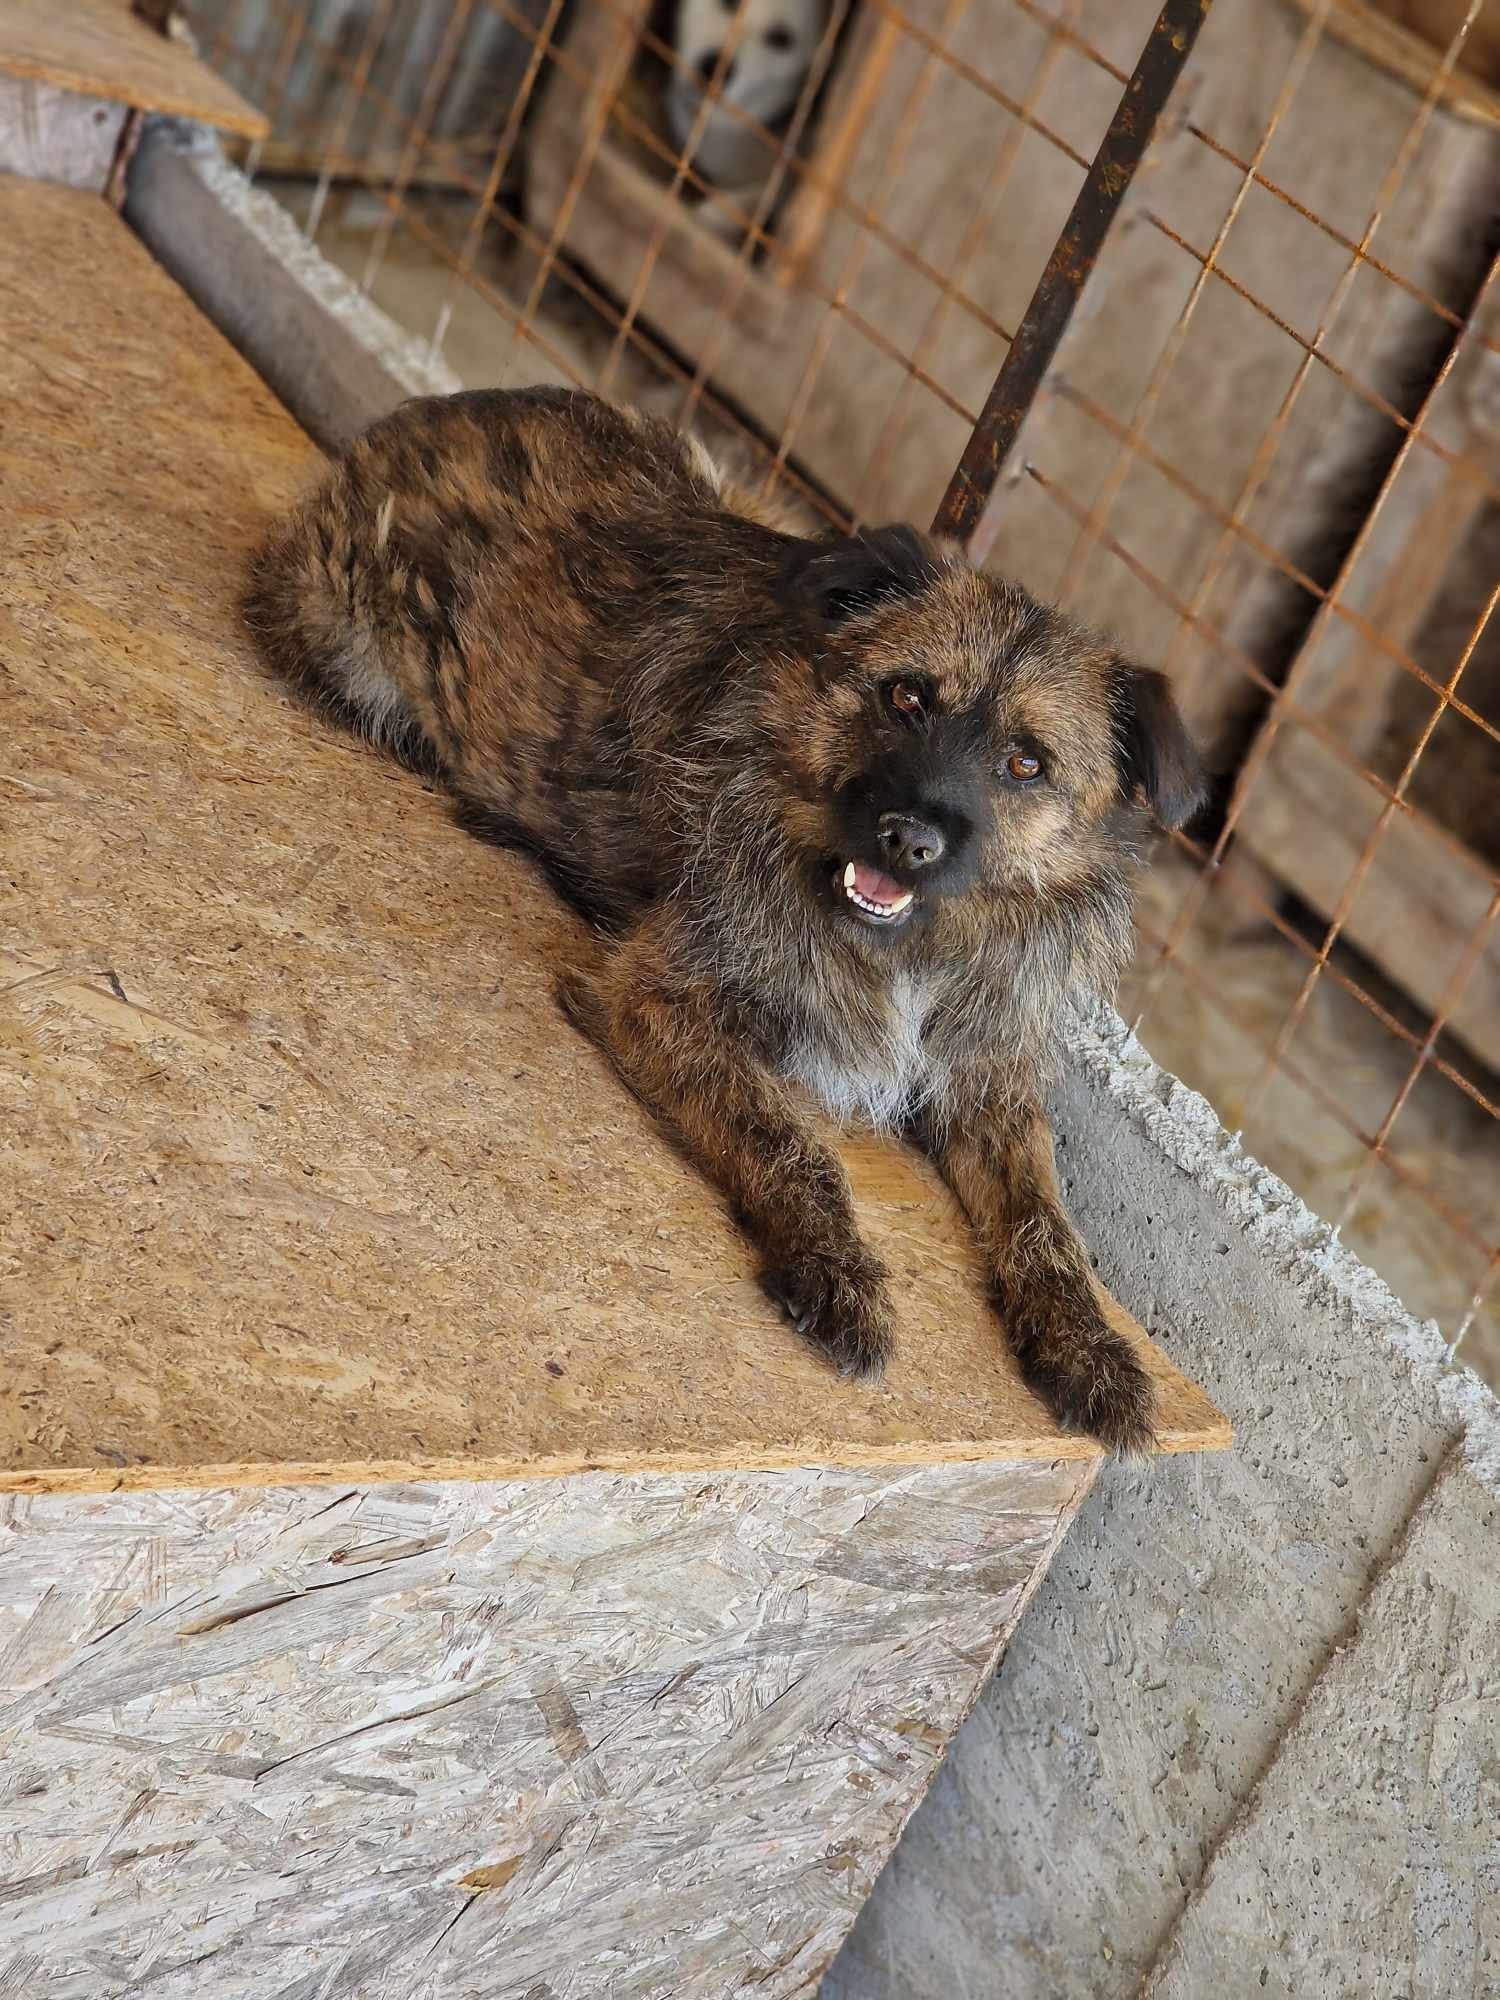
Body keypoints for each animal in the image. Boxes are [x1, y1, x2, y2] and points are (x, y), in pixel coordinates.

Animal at [244, 386, 1205, 1453]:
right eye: (906, 696)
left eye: (1026, 763)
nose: (908, 836)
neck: (908, 949)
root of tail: (428, 411)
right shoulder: (662, 996)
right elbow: (787, 1139)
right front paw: (840, 1271)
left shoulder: (985, 1077)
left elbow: (1049, 1222)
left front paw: (1087, 1345)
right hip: (349, 641)